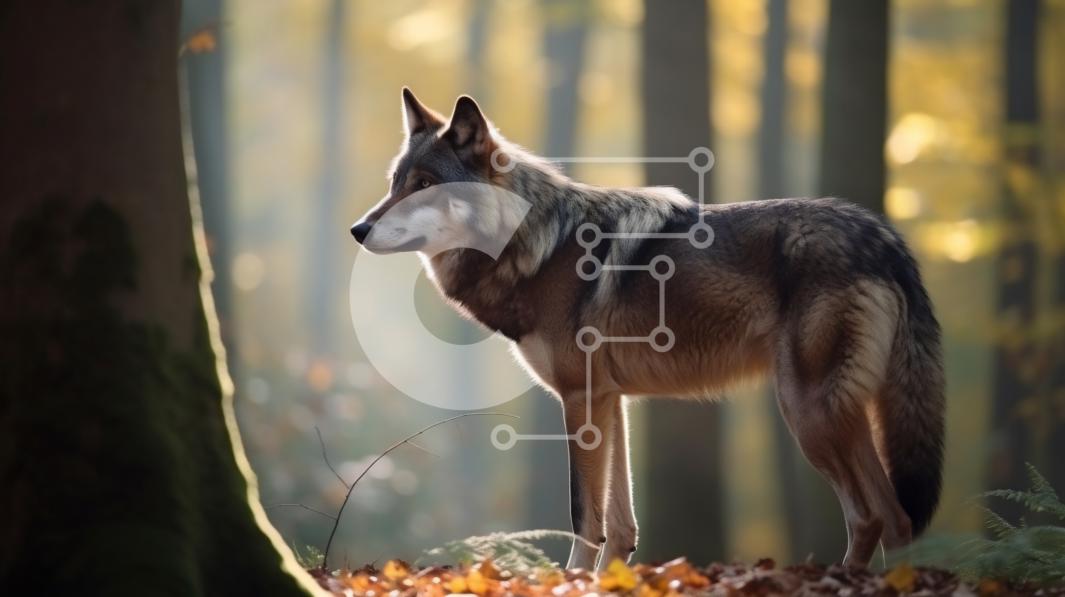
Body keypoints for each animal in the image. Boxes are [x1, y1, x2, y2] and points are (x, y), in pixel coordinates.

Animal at [350, 88, 945, 571]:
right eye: (395, 184)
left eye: (425, 185)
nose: (357, 229)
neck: (537, 246)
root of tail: (884, 238)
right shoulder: (612, 402)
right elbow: (620, 526)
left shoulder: (580, 398)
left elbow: (583, 517)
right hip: (838, 416)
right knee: (892, 520)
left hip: (808, 414)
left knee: (874, 517)